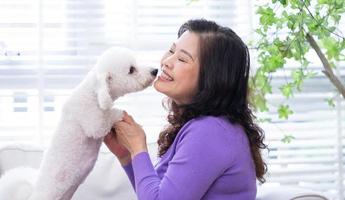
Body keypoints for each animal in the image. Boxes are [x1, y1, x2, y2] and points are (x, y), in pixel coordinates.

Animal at [0, 47, 158, 200]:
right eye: (131, 70)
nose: (155, 71)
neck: (94, 93)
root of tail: (33, 193)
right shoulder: (95, 123)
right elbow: (109, 116)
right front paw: (121, 114)